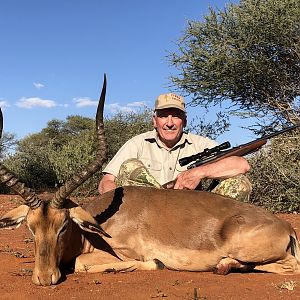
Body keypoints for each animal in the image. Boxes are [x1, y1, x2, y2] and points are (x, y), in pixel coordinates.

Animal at [0, 75, 300, 286]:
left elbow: (82, 264)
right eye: (30, 228)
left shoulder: (123, 253)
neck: (97, 228)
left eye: (63, 226)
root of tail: (286, 227)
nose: (43, 278)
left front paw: (154, 264)